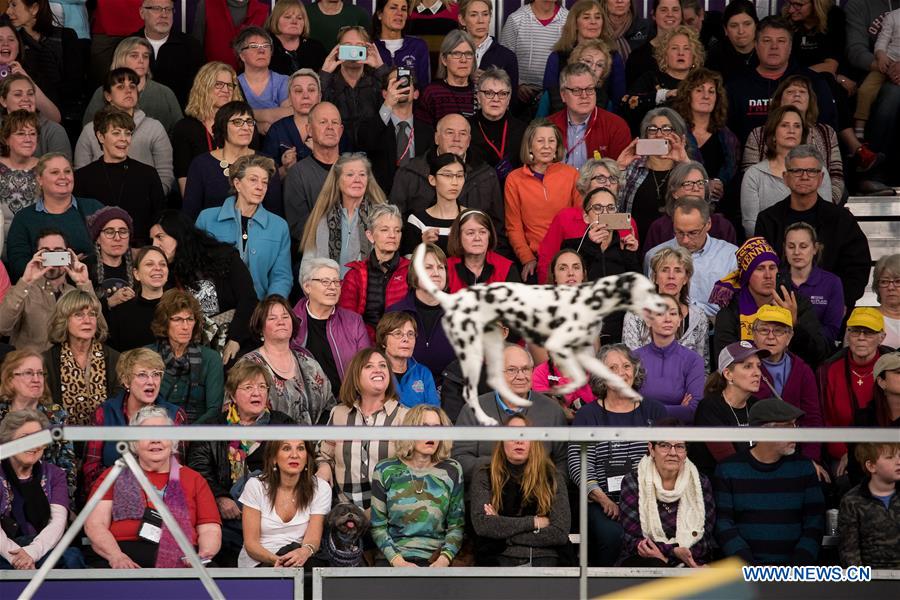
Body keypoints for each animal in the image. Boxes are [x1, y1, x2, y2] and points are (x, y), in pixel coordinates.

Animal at [414, 245, 668, 426]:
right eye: (649, 290)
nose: (666, 307)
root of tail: (452, 299)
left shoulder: (586, 354)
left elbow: (605, 375)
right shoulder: (559, 348)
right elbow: (577, 379)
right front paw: (562, 392)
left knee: (497, 381)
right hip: (472, 355)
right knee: (470, 393)